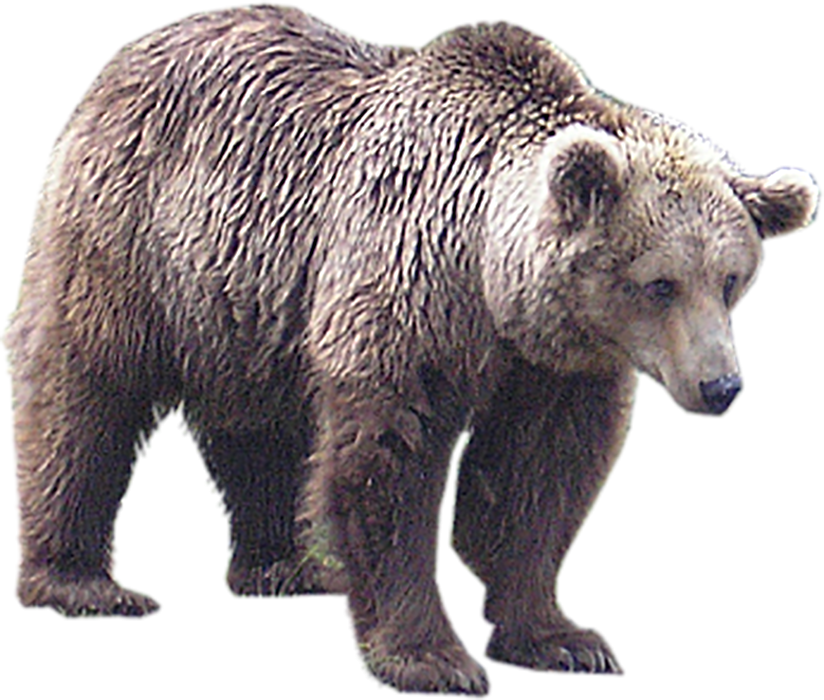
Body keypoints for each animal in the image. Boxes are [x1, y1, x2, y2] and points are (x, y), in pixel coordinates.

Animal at [2, 3, 819, 698]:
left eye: (733, 278)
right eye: (660, 283)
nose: (721, 386)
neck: (489, 277)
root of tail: (125, 55)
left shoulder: (557, 360)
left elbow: (543, 471)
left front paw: (563, 637)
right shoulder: (406, 277)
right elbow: (392, 458)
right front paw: (433, 659)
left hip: (250, 293)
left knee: (257, 425)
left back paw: (288, 564)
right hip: (136, 237)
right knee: (85, 394)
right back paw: (86, 583)